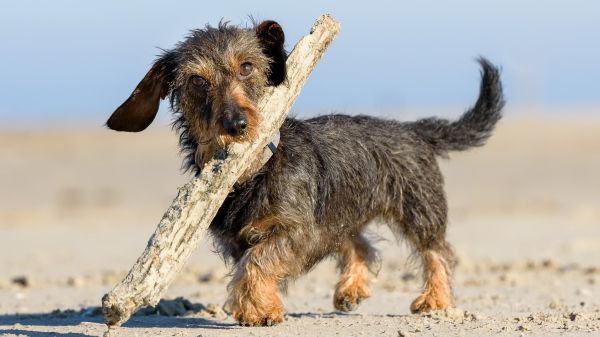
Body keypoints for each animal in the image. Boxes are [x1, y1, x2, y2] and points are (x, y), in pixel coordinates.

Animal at [105, 19, 504, 324]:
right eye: (197, 81)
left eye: (247, 66)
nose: (236, 125)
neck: (256, 173)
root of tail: (413, 129)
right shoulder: (240, 239)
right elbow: (250, 263)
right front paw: (261, 305)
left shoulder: (300, 230)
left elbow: (259, 261)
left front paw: (259, 309)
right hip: (341, 211)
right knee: (360, 244)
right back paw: (351, 289)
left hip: (420, 209)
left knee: (438, 251)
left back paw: (435, 300)